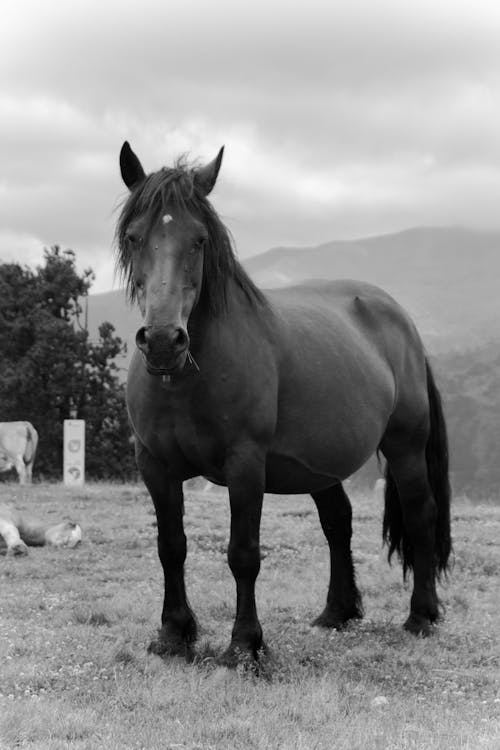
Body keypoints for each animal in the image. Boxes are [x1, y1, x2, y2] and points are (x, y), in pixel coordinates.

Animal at [117, 140, 454, 664]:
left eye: (199, 240)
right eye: (134, 237)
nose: (162, 342)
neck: (188, 376)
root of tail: (402, 321)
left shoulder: (245, 464)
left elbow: (243, 553)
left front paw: (244, 645)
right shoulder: (154, 465)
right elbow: (170, 546)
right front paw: (173, 634)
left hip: (405, 447)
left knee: (421, 515)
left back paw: (421, 616)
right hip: (322, 463)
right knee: (338, 523)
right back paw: (337, 613)